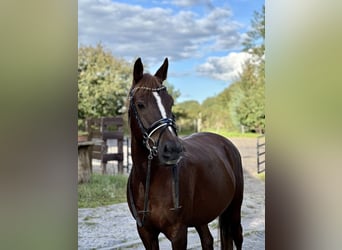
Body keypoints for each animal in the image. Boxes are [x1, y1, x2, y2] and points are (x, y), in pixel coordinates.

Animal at [127, 57, 243, 249]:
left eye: (170, 102)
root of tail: (226, 143)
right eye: (140, 104)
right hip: (202, 214)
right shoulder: (145, 233)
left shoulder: (178, 233)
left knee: (237, 237)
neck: (149, 180)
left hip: (234, 209)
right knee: (208, 240)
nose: (172, 148)